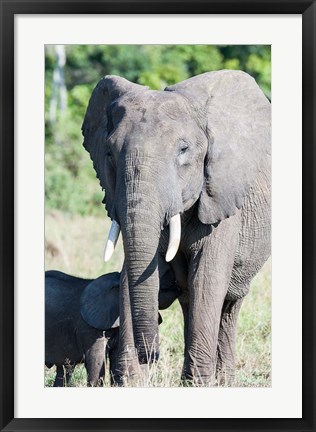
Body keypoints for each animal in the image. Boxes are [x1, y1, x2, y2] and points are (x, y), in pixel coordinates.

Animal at [82, 69, 272, 386]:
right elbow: (130, 276)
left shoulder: (221, 199)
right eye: (109, 153)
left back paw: (222, 381)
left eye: (183, 150)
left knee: (228, 303)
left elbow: (207, 278)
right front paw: (131, 382)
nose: (152, 355)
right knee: (189, 299)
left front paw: (197, 384)